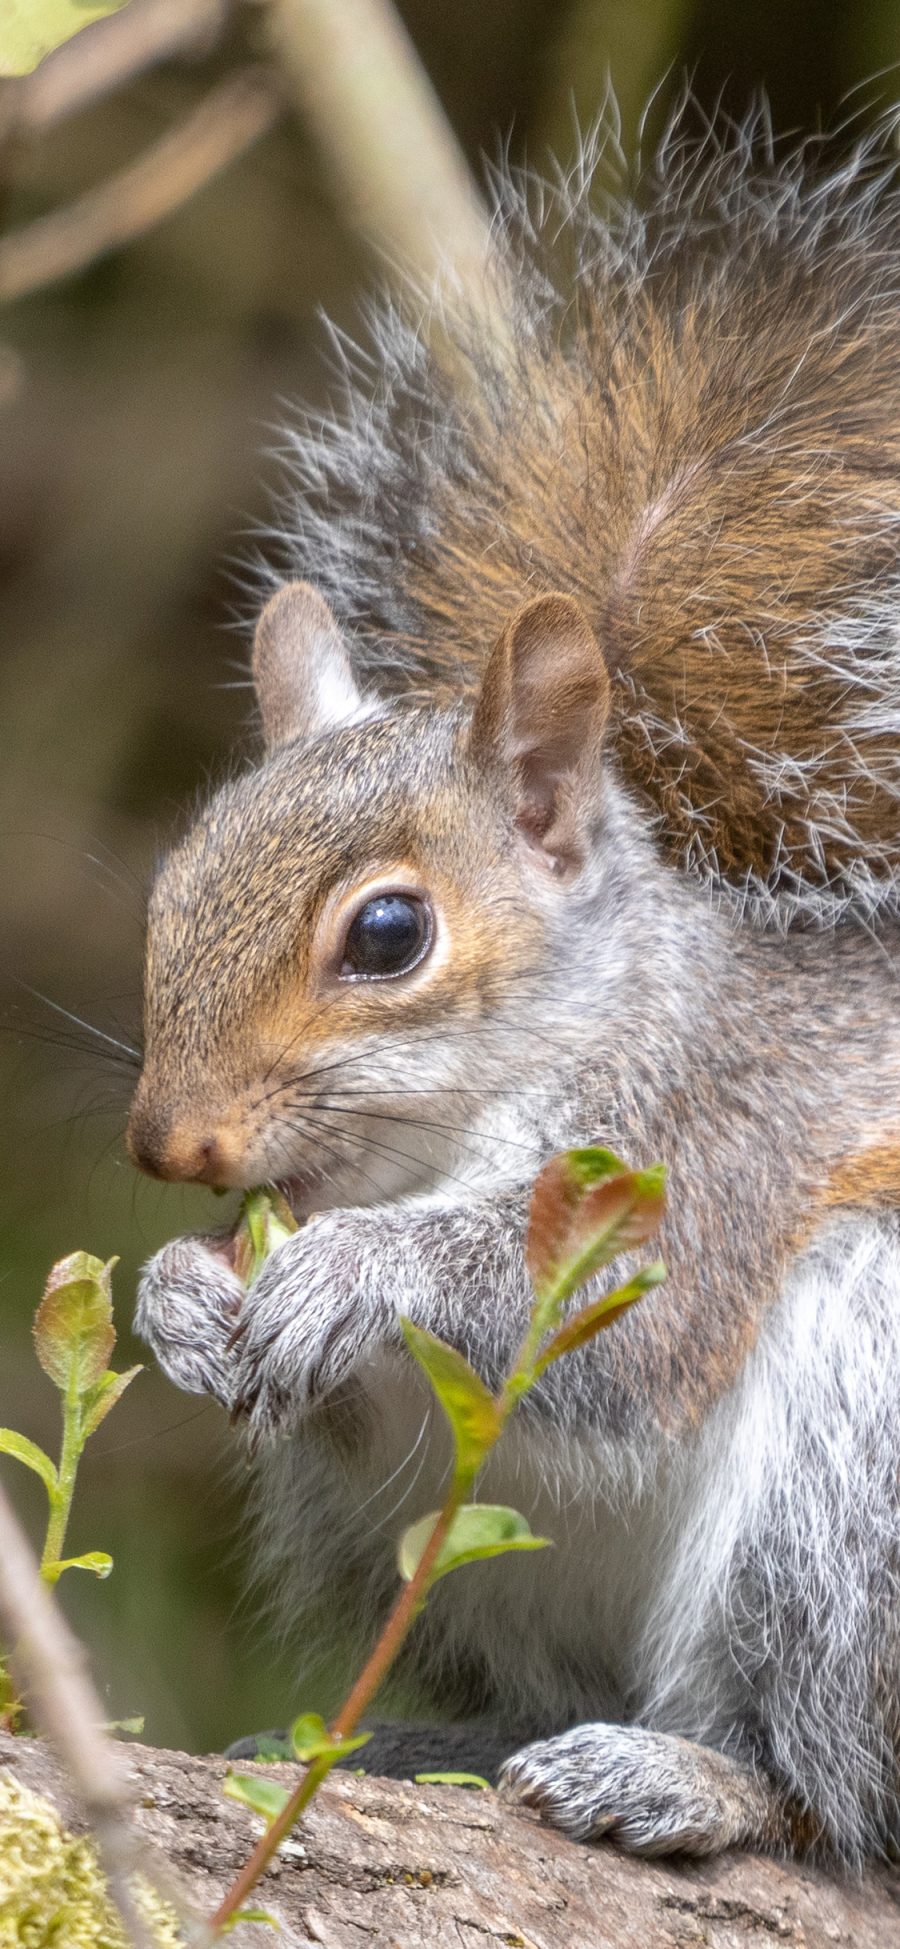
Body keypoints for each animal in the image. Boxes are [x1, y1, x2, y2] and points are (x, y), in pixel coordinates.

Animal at [130, 110, 900, 1871]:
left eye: (387, 936)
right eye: (171, 886)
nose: (172, 1147)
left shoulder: (726, 1138)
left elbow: (627, 1321)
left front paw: (364, 1266)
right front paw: (178, 1296)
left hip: (862, 1457)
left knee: (830, 1782)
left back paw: (694, 1778)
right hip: (442, 1556)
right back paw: (444, 1745)